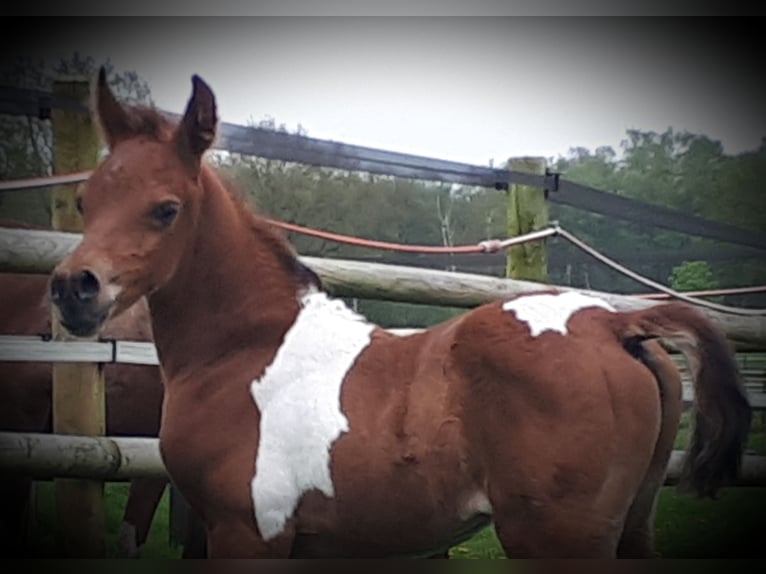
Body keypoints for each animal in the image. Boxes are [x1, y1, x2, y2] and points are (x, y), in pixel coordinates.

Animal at [49, 66, 756, 560]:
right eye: (86, 201)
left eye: (165, 209)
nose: (74, 289)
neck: (246, 352)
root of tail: (614, 322)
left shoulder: (247, 534)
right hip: (632, 527)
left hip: (559, 538)